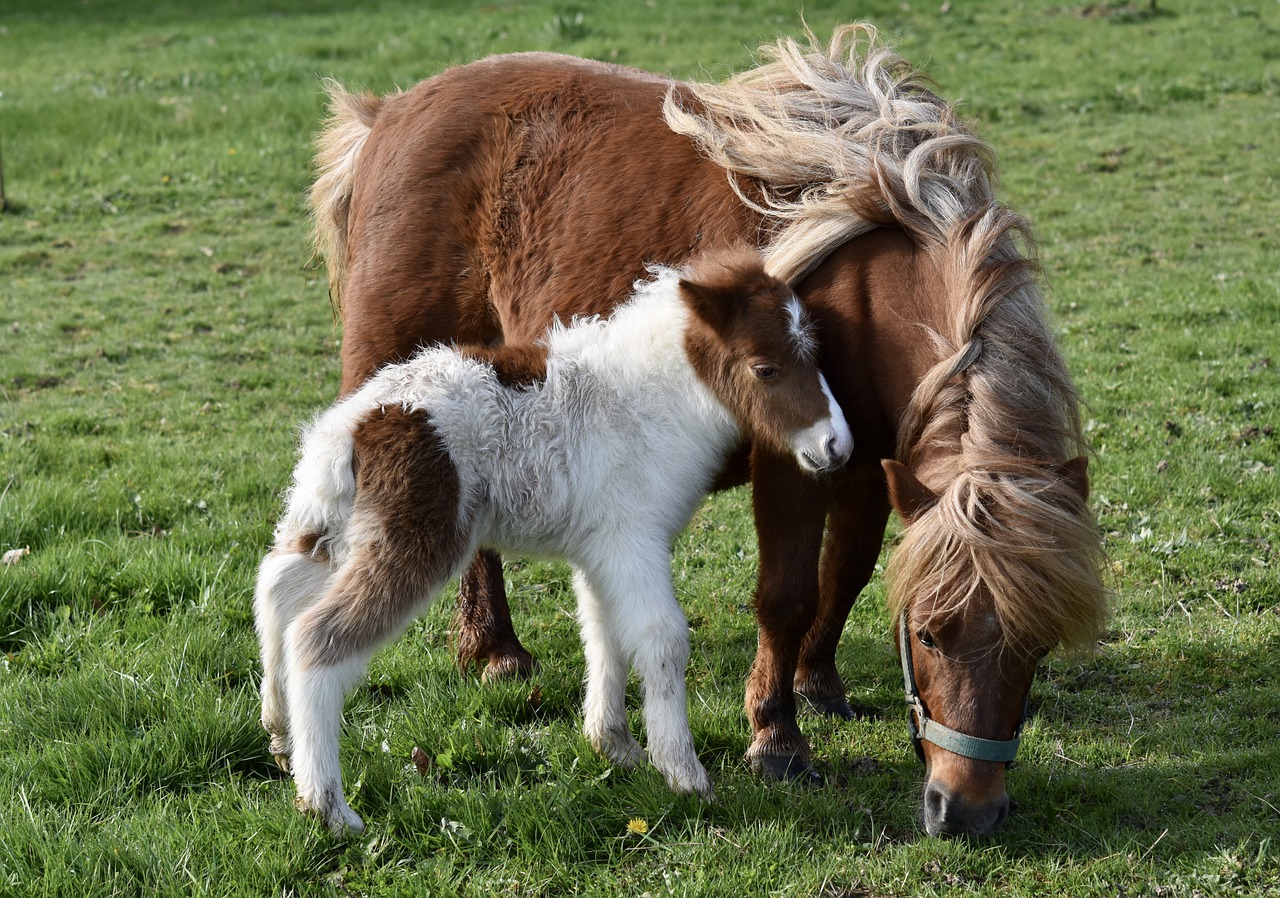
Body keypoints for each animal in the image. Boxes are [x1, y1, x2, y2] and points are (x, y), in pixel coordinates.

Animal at [252, 248, 849, 839]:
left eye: (816, 354)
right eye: (764, 368)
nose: (837, 446)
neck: (646, 402)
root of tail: (351, 427)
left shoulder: (601, 552)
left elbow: (603, 633)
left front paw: (615, 746)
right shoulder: (635, 541)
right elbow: (662, 640)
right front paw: (683, 773)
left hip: (329, 521)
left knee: (277, 586)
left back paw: (281, 737)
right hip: (417, 540)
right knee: (317, 638)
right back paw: (328, 805)